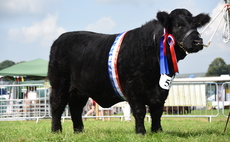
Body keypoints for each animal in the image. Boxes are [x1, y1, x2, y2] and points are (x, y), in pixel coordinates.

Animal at [48, 8, 210, 134]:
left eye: (195, 25)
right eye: (178, 25)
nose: (197, 41)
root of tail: (60, 38)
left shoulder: (162, 89)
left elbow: (157, 111)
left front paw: (157, 131)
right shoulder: (133, 87)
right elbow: (139, 110)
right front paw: (141, 132)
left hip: (80, 89)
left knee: (75, 107)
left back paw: (79, 131)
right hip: (59, 83)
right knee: (57, 104)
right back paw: (56, 130)